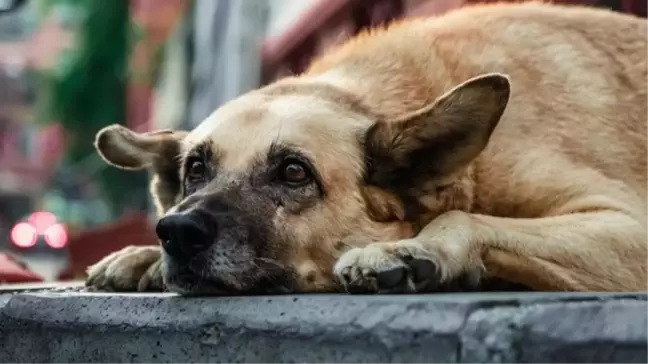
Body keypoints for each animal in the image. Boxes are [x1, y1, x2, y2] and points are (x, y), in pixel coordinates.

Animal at [83, 1, 648, 294]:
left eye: (294, 172)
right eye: (196, 169)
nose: (176, 232)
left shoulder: (629, 226)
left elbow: (464, 218)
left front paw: (411, 248)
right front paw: (143, 257)